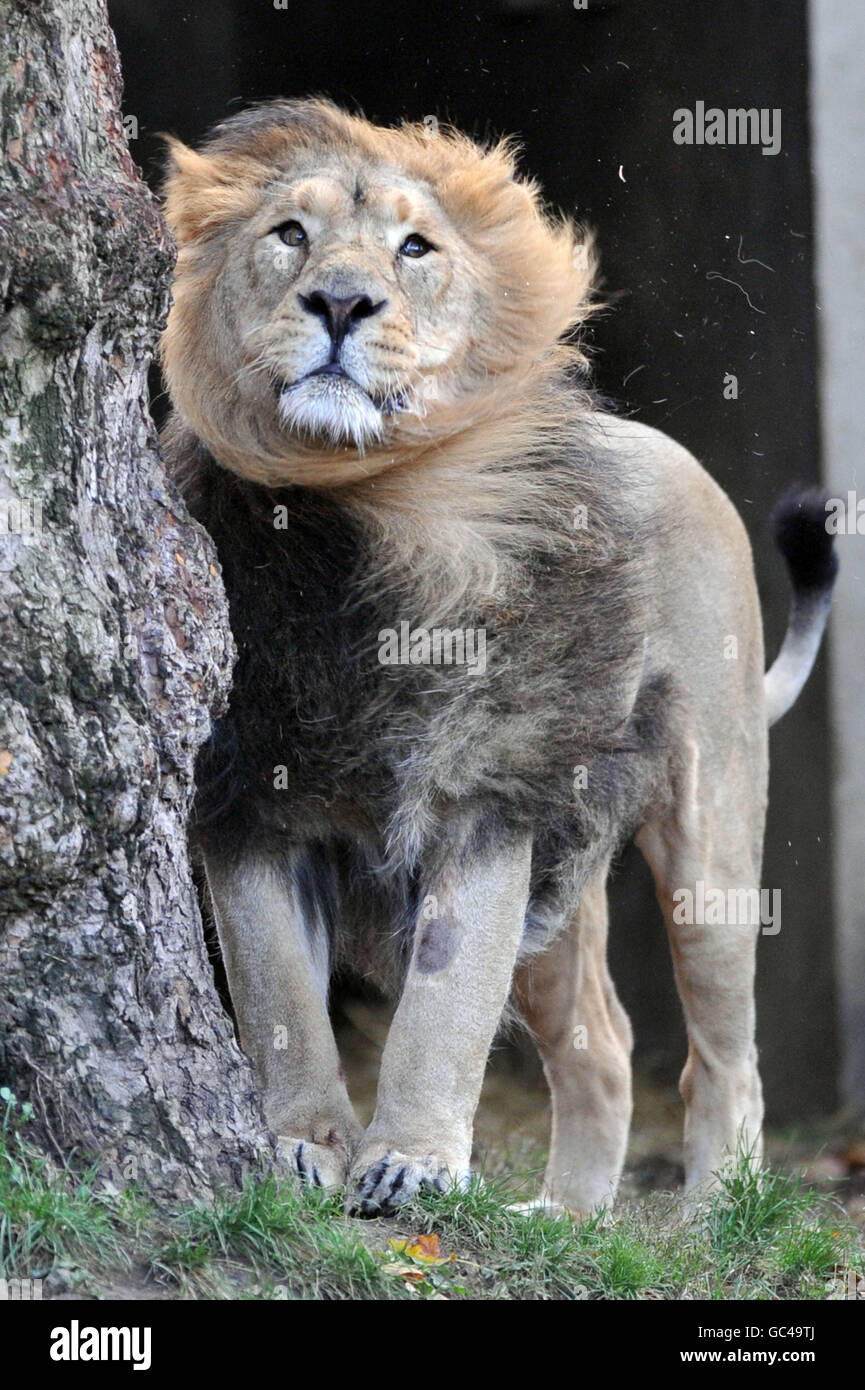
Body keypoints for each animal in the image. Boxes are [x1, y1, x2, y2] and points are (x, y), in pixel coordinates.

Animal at [159, 99, 836, 1216]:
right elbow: (279, 994)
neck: (366, 525)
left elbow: (444, 1005)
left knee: (724, 1054)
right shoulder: (250, 798)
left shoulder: (484, 799)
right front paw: (304, 1143)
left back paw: (707, 1214)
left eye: (414, 247)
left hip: (709, 834)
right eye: (289, 234)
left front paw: (411, 1161)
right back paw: (566, 1218)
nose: (339, 302)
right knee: (603, 1041)